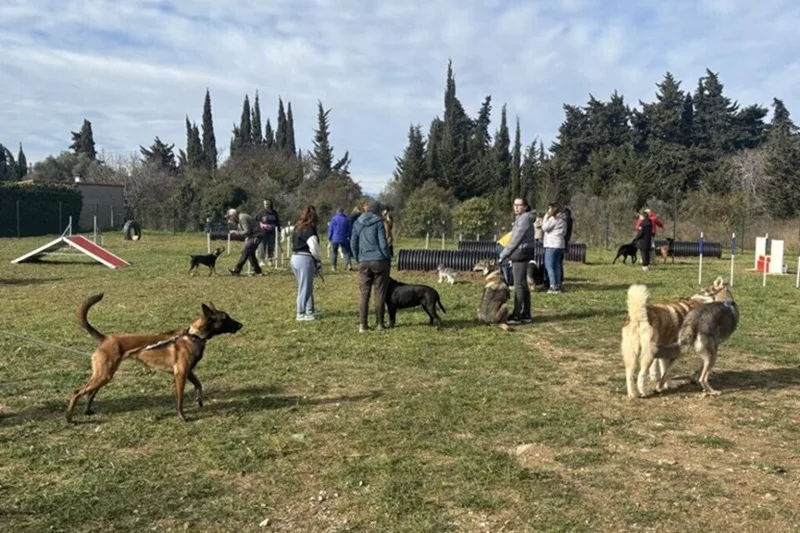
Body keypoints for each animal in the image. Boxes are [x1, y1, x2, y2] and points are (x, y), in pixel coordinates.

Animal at [67, 294, 242, 422]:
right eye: (225, 318)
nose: (241, 325)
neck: (193, 335)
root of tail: (105, 339)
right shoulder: (180, 374)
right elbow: (180, 398)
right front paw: (182, 416)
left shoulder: (189, 372)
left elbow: (199, 385)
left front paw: (199, 401)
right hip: (104, 375)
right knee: (77, 392)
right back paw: (69, 417)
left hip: (104, 375)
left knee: (90, 393)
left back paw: (87, 411)